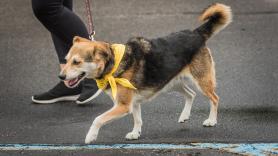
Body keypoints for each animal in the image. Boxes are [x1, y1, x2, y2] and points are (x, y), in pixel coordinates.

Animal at [59, 3, 232, 144]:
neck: (114, 65)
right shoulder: (133, 103)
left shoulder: (123, 106)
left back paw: (211, 120)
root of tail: (196, 33)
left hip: (201, 81)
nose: (61, 77)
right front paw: (135, 133)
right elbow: (137, 120)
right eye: (65, 60)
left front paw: (91, 136)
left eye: (76, 62)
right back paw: (184, 116)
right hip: (170, 82)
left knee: (214, 98)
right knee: (191, 94)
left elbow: (97, 119)